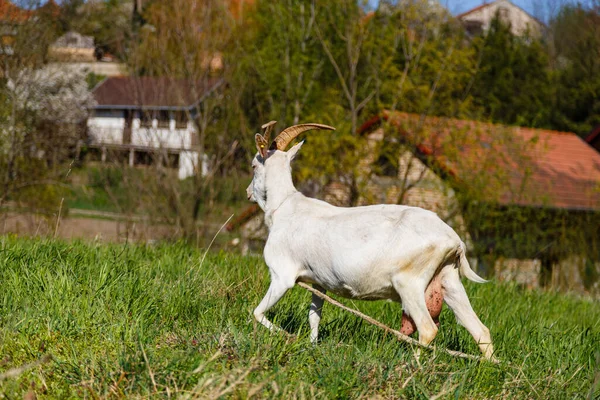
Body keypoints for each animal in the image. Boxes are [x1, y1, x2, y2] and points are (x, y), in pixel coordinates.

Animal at [246, 121, 494, 360]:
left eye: (253, 166)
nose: (248, 193)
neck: (284, 207)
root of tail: (453, 240)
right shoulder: (319, 282)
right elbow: (314, 316)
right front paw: (312, 346)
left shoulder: (282, 275)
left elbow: (257, 313)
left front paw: (286, 336)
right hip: (449, 280)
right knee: (481, 330)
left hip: (410, 282)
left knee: (428, 329)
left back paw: (410, 366)